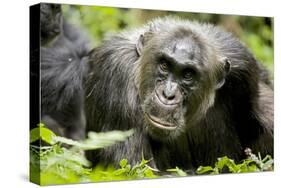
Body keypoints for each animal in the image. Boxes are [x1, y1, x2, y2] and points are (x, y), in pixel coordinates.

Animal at [85, 17, 272, 170]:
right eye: (164, 65)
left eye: (188, 74)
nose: (168, 95)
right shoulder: (116, 72)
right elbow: (135, 167)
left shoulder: (244, 66)